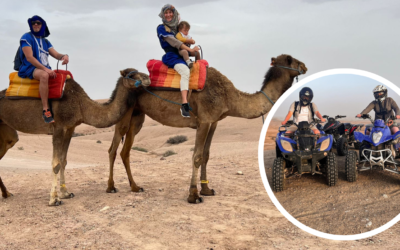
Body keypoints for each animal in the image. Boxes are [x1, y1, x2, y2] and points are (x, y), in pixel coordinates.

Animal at [0, 68, 150, 205]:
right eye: (131, 74)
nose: (147, 78)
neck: (81, 105)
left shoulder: (70, 128)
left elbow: (63, 160)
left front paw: (65, 193)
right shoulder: (58, 127)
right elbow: (56, 163)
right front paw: (54, 199)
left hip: (6, 129)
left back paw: (7, 193)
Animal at [108, 54, 308, 203]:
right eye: (290, 59)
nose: (305, 66)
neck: (229, 97)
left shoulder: (214, 121)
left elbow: (206, 154)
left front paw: (206, 189)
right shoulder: (204, 120)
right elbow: (196, 156)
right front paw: (193, 195)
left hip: (136, 115)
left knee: (124, 150)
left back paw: (134, 187)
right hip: (125, 110)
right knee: (114, 148)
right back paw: (111, 187)